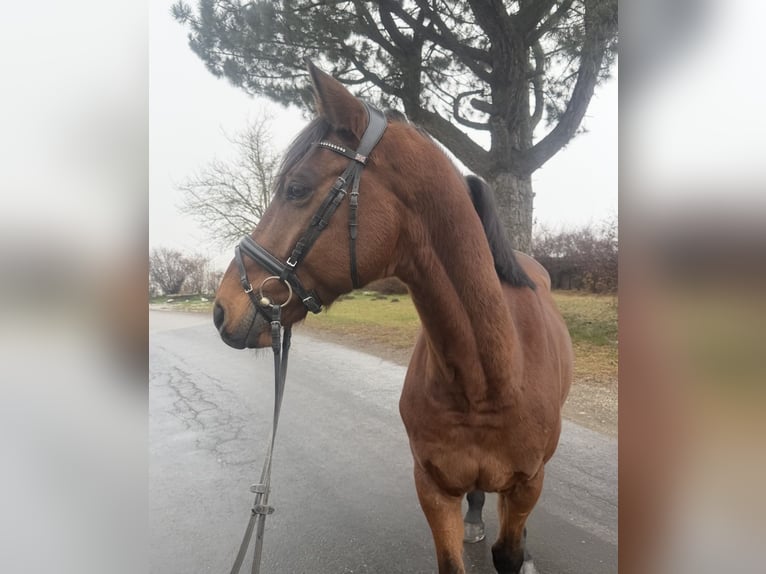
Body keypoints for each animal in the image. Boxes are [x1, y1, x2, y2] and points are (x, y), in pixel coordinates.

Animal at [213, 62, 573, 574]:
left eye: (297, 189)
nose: (223, 308)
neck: (488, 380)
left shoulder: (527, 484)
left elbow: (510, 550)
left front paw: (523, 553)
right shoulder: (433, 488)